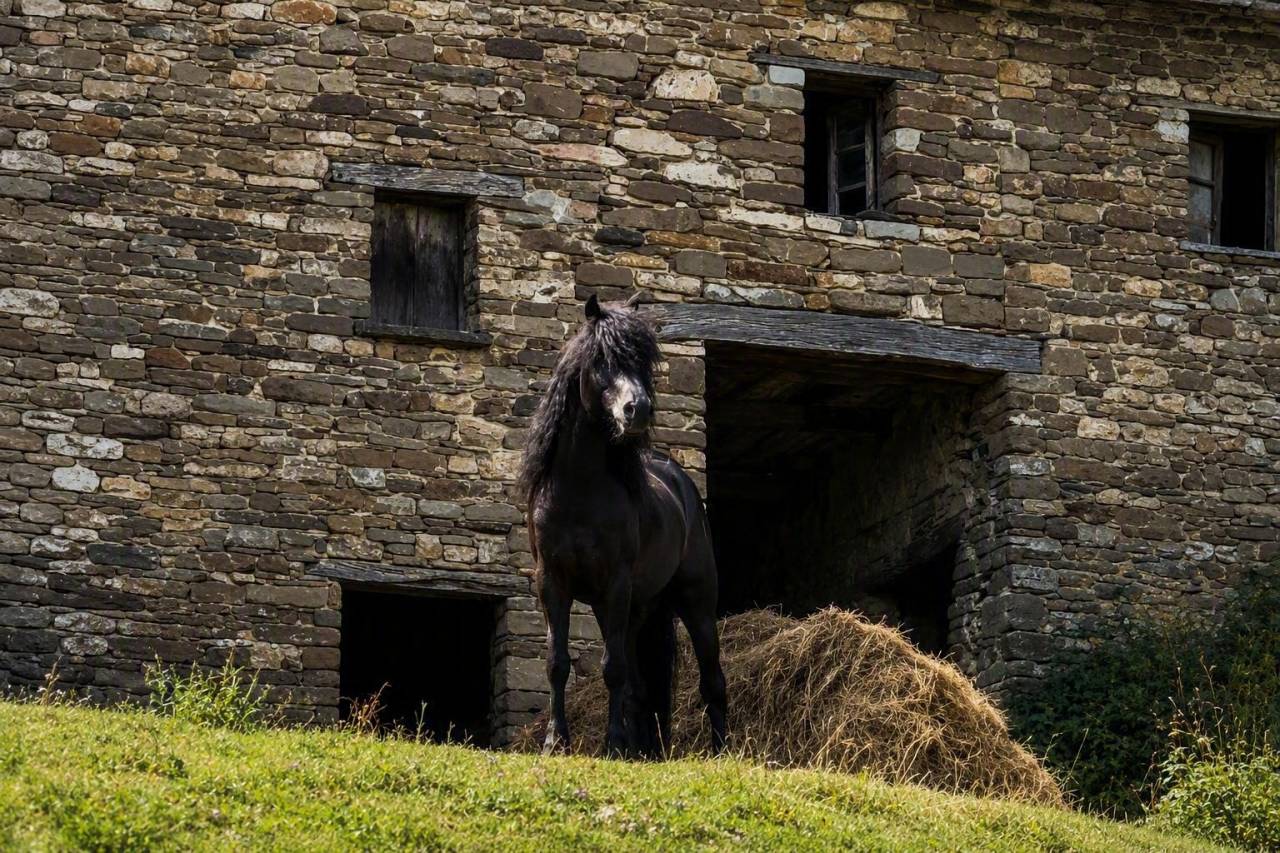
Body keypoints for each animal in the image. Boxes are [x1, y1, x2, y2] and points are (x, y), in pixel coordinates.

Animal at [519, 293, 727, 758]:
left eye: (642, 361)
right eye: (602, 360)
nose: (639, 410)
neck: (578, 490)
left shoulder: (614, 583)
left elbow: (611, 668)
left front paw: (612, 745)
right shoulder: (552, 582)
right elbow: (557, 663)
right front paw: (556, 741)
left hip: (696, 602)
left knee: (712, 681)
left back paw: (723, 751)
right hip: (637, 611)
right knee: (641, 686)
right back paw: (644, 751)